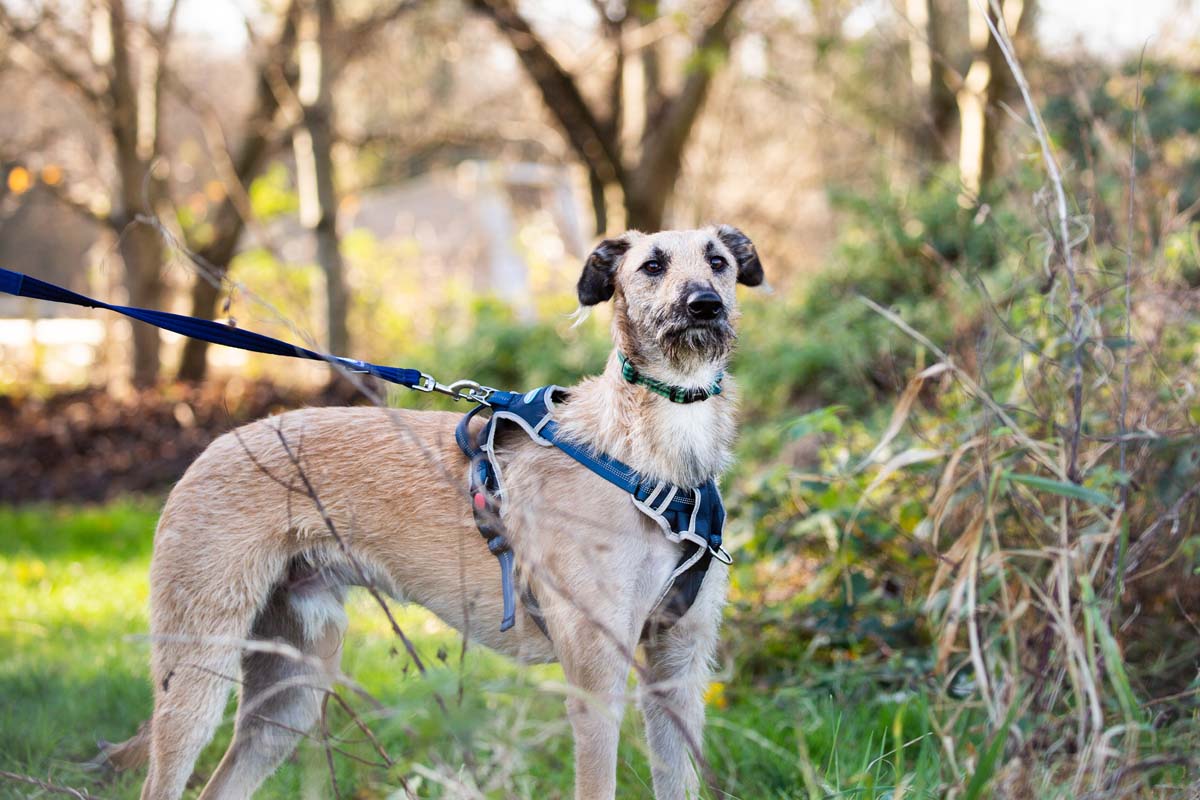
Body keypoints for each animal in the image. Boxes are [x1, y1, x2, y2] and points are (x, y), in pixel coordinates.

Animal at [100, 225, 758, 800]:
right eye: (652, 266)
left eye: (718, 261)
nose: (703, 306)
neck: (652, 452)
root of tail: (213, 447)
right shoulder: (596, 681)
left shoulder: (678, 671)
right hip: (198, 670)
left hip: (292, 688)